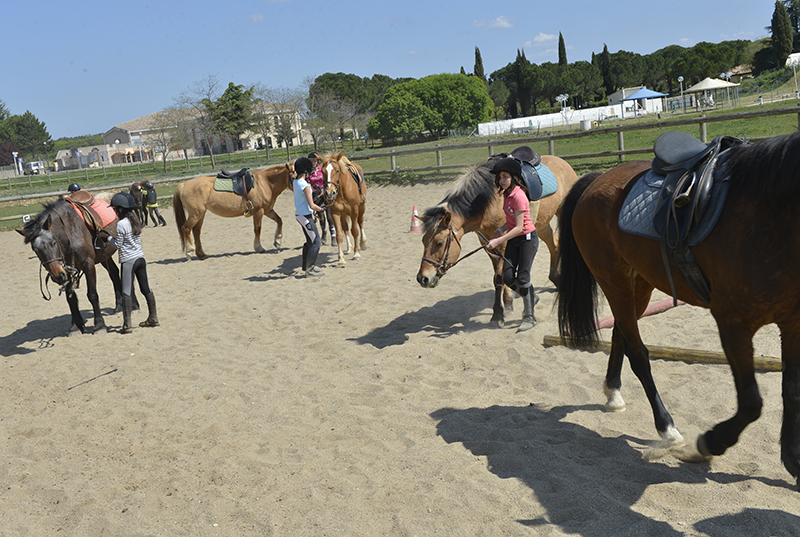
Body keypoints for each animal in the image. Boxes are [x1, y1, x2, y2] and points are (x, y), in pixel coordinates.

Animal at [17, 197, 128, 335]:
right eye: (35, 250)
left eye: (53, 243)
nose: (57, 277)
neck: (69, 232)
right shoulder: (67, 271)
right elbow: (71, 298)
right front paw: (76, 326)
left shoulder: (88, 265)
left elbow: (92, 295)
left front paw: (99, 325)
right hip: (104, 256)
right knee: (114, 273)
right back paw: (119, 306)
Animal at [415, 154, 579, 326]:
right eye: (423, 241)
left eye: (440, 243)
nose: (422, 278)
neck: (488, 202)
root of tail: (561, 161)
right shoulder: (488, 244)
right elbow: (500, 275)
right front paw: (509, 303)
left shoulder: (504, 242)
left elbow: (499, 277)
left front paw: (498, 313)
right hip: (541, 224)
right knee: (555, 244)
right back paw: (556, 279)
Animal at [555, 131, 800, 487]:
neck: (769, 215)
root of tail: (596, 180)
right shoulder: (733, 323)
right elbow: (751, 403)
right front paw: (708, 443)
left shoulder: (792, 322)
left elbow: (791, 390)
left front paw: (794, 461)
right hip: (613, 280)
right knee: (639, 354)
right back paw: (667, 428)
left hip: (640, 284)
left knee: (620, 335)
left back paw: (613, 393)